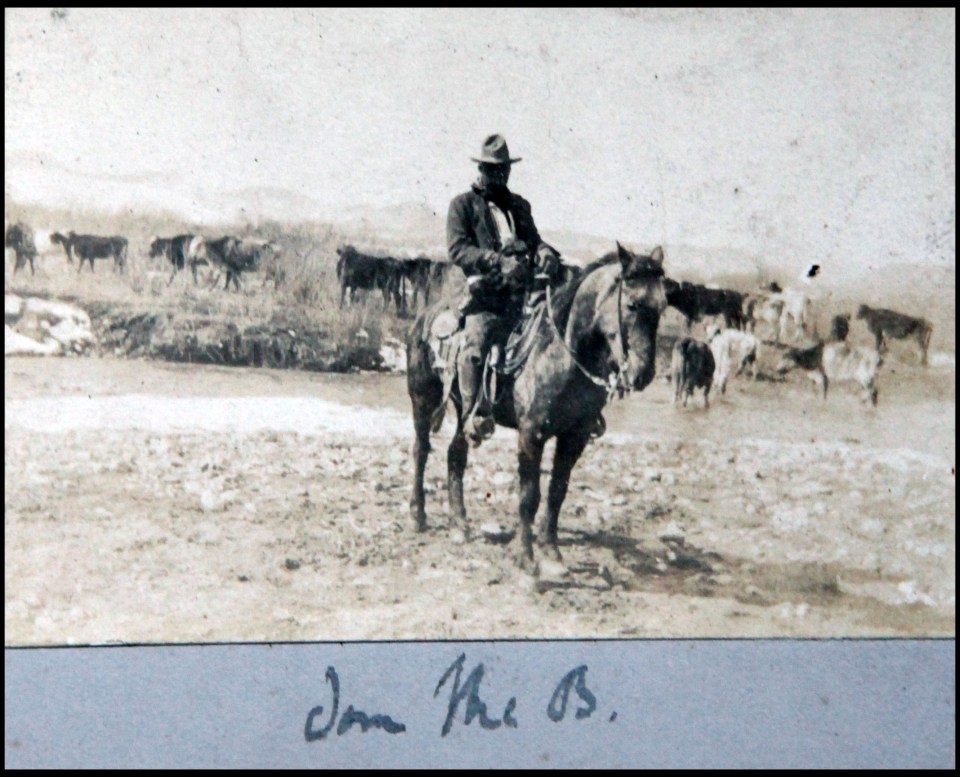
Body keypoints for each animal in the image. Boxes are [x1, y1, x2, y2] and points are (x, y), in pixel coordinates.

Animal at [404, 242, 668, 568]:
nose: (644, 373)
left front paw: (550, 546)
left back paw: (460, 523)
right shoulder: (531, 434)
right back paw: (418, 515)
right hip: (422, 399)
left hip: (465, 411)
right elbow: (529, 496)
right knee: (421, 450)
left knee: (456, 454)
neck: (560, 355)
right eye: (632, 304)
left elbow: (557, 490)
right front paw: (526, 557)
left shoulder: (575, 437)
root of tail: (424, 316)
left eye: (662, 306)